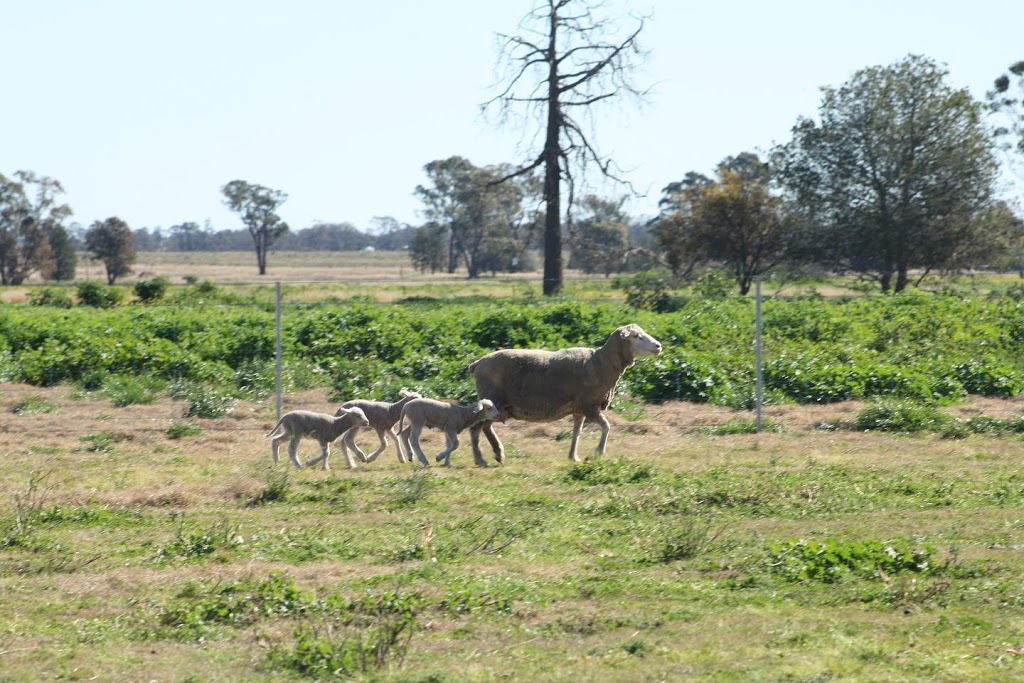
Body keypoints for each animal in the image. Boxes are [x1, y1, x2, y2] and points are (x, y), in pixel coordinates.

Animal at [466, 325, 659, 464]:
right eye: (637, 336)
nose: (659, 346)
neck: (600, 364)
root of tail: (477, 364)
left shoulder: (579, 409)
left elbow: (576, 432)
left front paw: (573, 457)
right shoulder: (588, 405)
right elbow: (606, 426)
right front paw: (598, 452)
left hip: (499, 405)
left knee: (486, 427)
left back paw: (498, 453)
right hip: (493, 399)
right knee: (476, 428)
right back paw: (480, 459)